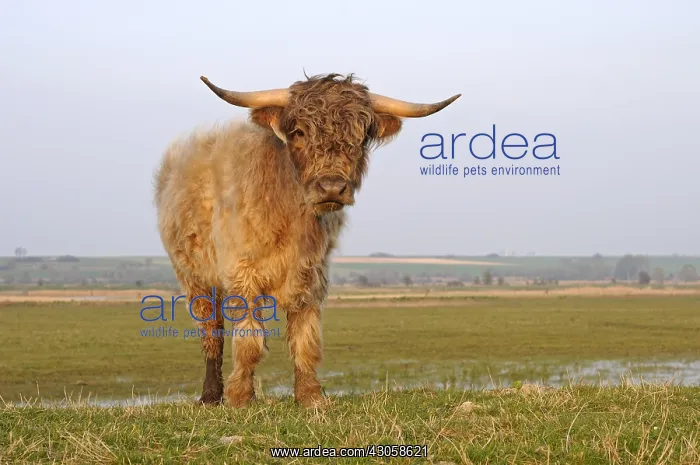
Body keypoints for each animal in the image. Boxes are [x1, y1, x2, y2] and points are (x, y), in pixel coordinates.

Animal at [154, 73, 460, 407]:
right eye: (299, 131)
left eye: (361, 136)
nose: (332, 187)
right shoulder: (241, 275)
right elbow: (248, 341)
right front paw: (240, 398)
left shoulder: (312, 276)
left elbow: (306, 339)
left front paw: (310, 396)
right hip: (193, 277)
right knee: (211, 332)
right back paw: (210, 396)